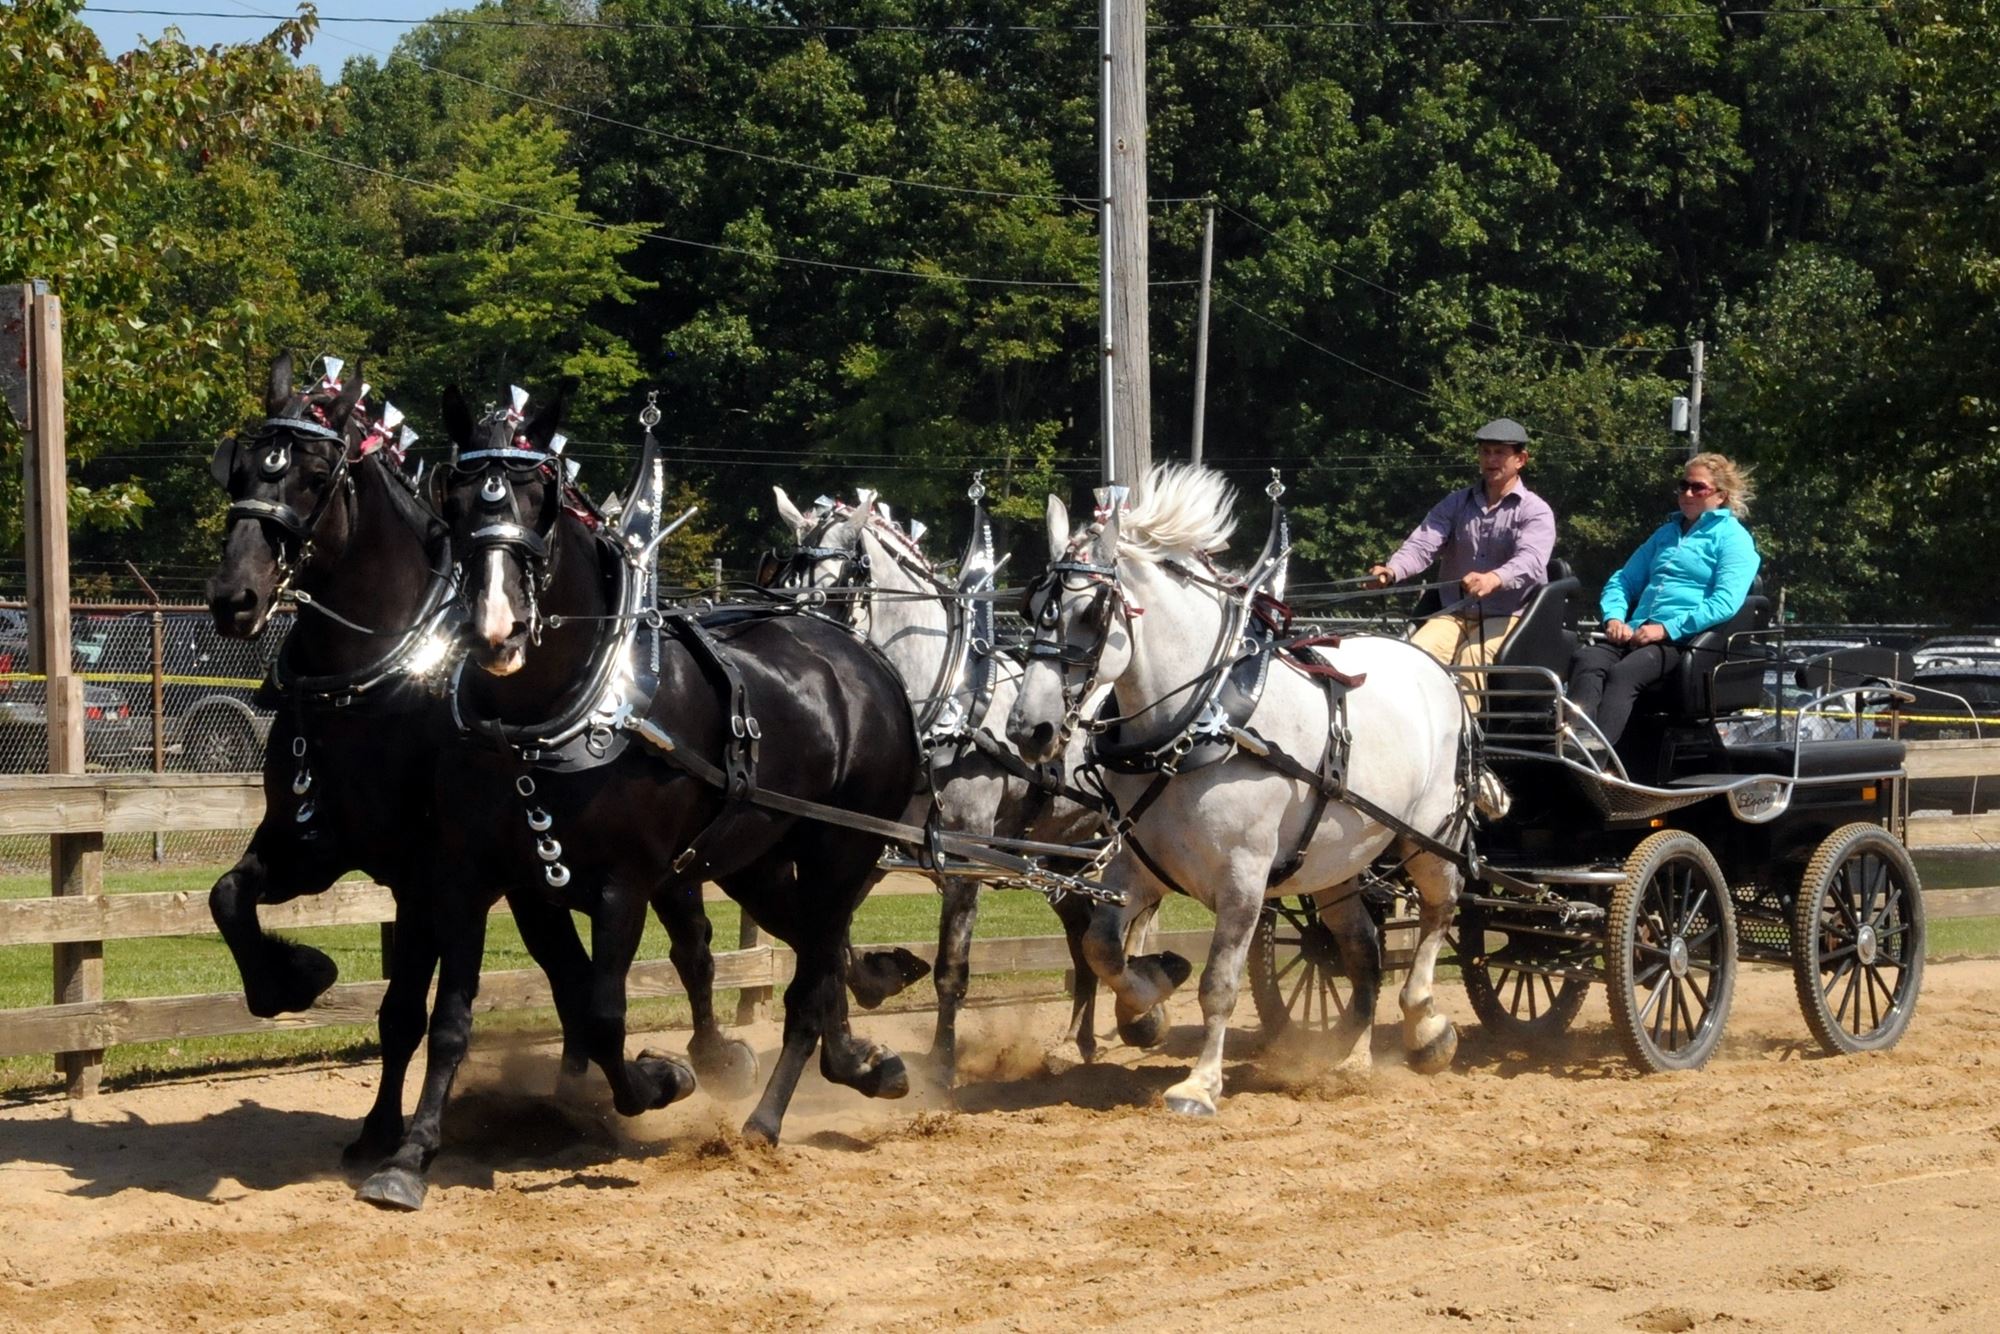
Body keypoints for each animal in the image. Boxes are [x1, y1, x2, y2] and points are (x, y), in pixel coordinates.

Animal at [354, 384, 920, 1208]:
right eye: (453, 498)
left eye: (540, 499)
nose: (497, 629)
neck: (546, 721)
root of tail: (867, 663)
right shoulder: (468, 878)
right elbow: (453, 1019)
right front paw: (409, 1156)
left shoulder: (625, 884)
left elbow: (602, 1014)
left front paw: (660, 1082)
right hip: (756, 862)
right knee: (819, 951)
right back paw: (863, 1062)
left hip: (841, 851)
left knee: (809, 982)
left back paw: (765, 1122)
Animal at [764, 486, 1112, 1080]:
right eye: (785, 583)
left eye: (833, 588)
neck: (944, 713)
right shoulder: (870, 848)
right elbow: (833, 939)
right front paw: (877, 985)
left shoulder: (966, 858)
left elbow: (952, 967)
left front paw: (942, 1066)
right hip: (1059, 857)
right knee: (1082, 933)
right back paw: (1080, 1039)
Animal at [1008, 470, 1464, 1120]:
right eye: (1030, 607)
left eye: (1093, 611)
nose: (1030, 728)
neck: (1198, 724)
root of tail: (1431, 666)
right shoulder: (1137, 865)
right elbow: (1103, 948)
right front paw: (1148, 1001)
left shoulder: (1244, 878)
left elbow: (1220, 983)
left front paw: (1199, 1085)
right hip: (1336, 864)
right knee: (1363, 947)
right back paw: (1349, 1059)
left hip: (1428, 839)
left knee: (1438, 911)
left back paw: (1426, 1027)